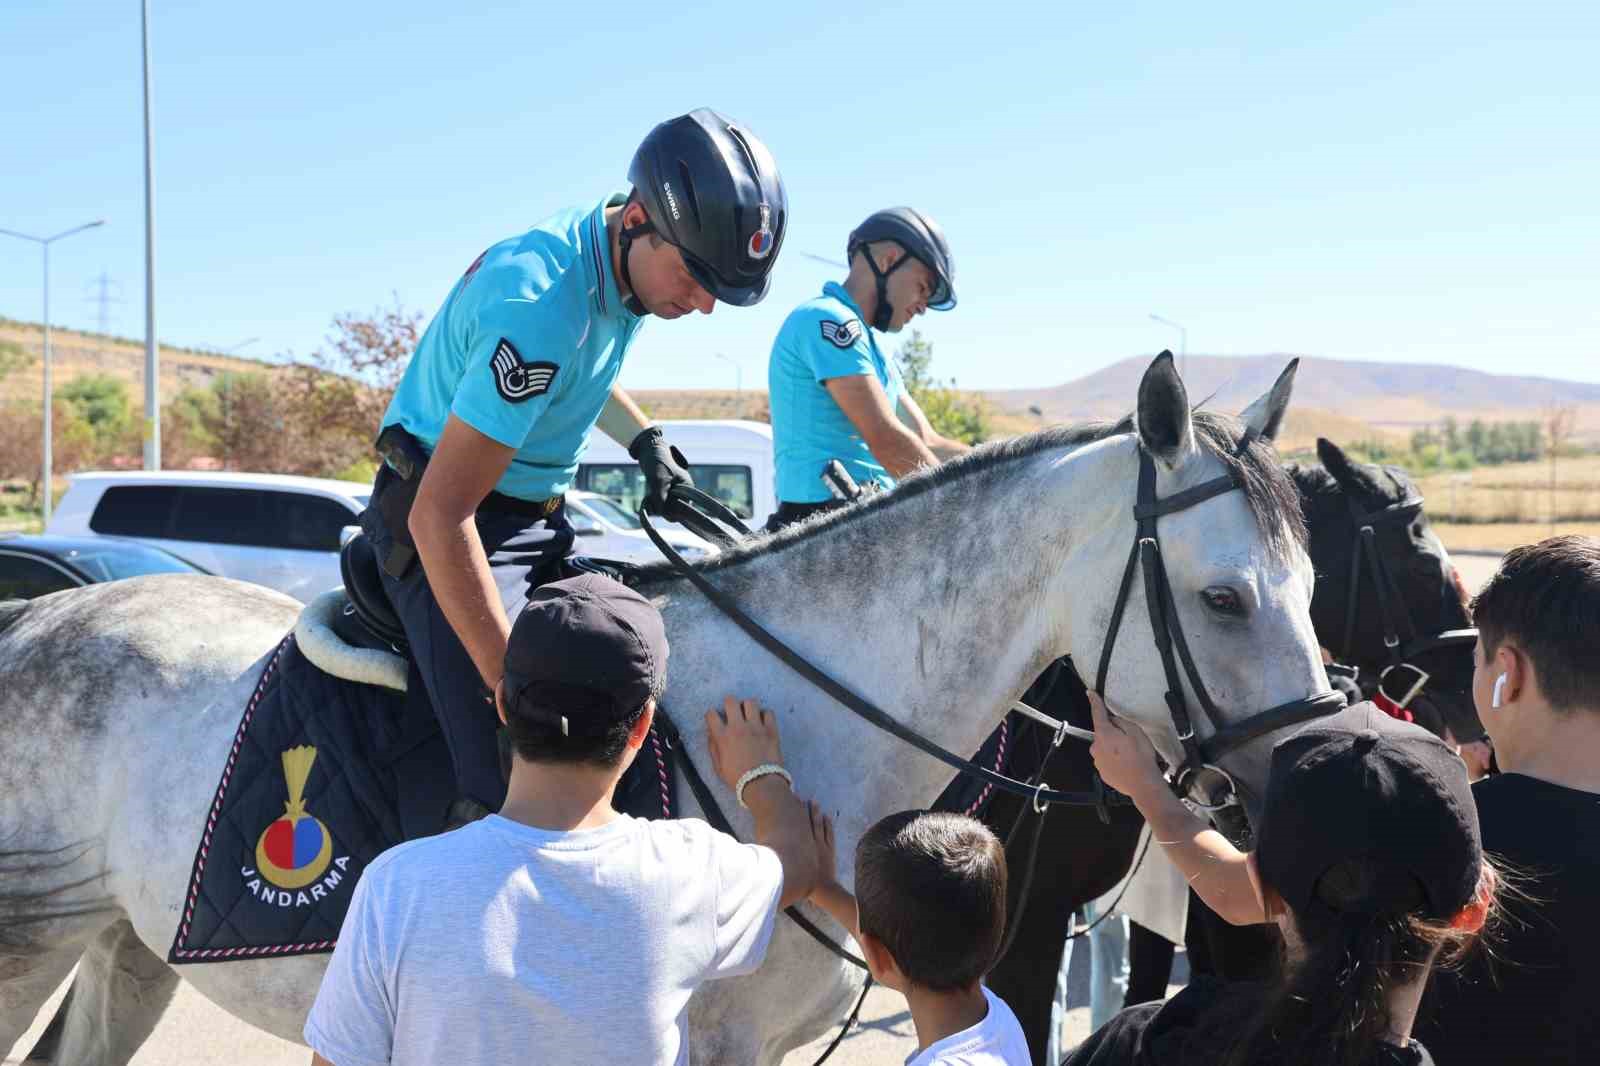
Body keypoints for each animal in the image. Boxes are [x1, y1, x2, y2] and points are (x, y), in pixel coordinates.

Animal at [3, 352, 1324, 1056]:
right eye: (1221, 597)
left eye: (1313, 584)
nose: (1311, 774)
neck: (800, 713)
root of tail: (39, 620)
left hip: (128, 947)